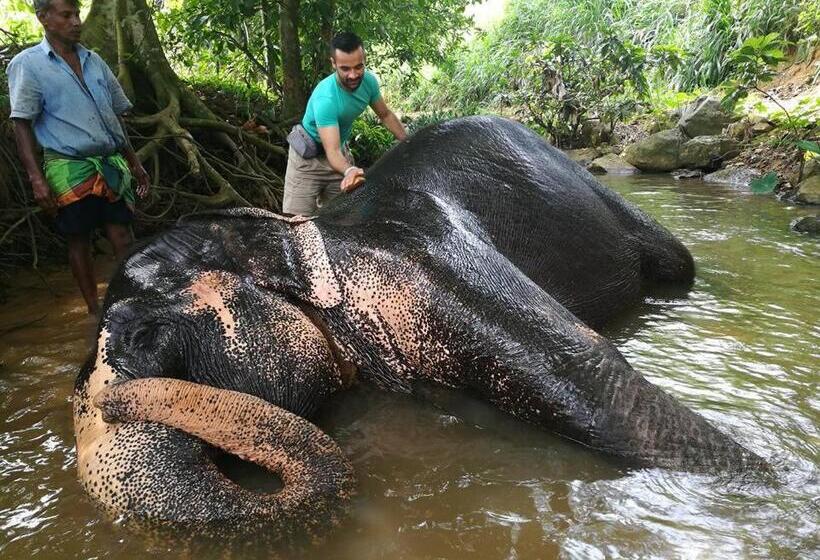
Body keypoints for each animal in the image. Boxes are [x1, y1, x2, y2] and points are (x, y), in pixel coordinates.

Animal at [75, 116, 767, 543]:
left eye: (141, 339)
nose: (116, 400)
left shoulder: (427, 264)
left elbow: (602, 388)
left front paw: (775, 487)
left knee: (678, 265)